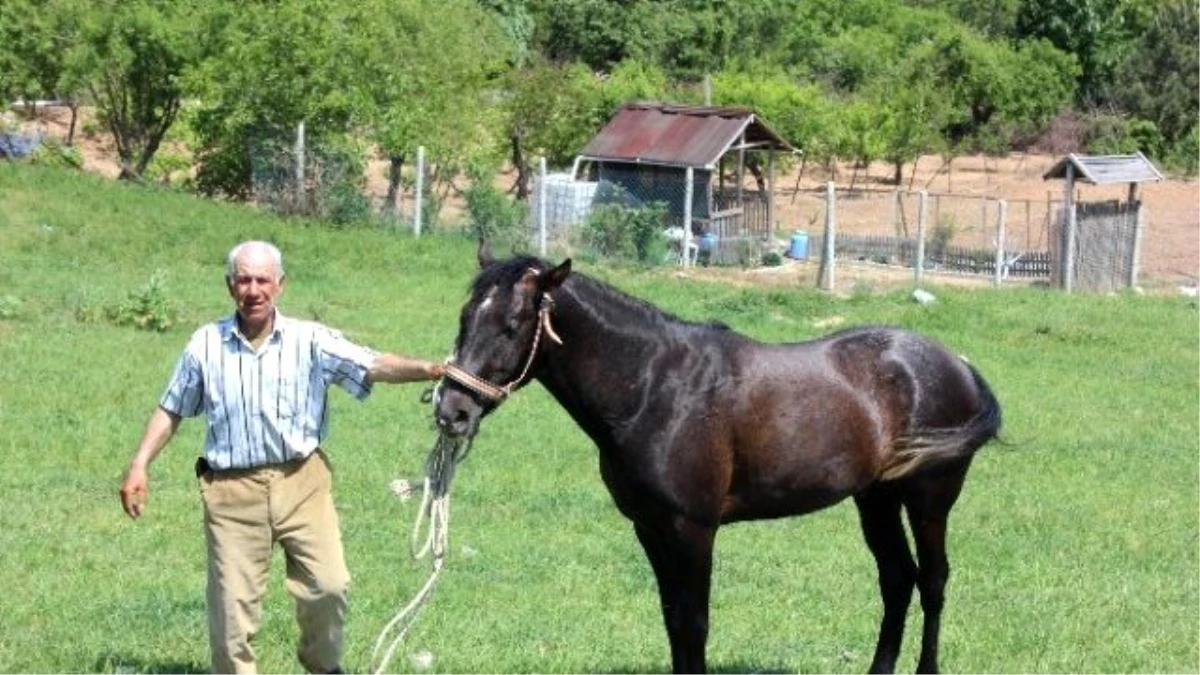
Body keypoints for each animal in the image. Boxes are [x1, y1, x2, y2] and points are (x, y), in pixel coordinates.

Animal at [436, 251, 998, 672]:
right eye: (464, 318)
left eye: (511, 326)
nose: (452, 411)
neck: (654, 387)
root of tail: (956, 365)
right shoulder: (649, 527)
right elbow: (672, 619)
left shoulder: (693, 528)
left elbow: (694, 622)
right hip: (875, 498)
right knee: (897, 579)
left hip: (929, 501)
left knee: (932, 581)